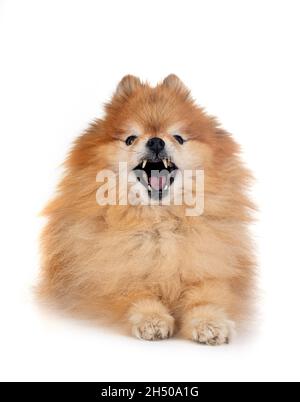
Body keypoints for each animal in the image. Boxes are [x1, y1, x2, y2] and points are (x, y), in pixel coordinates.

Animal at [38, 75, 255, 346]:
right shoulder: (110, 276)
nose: (155, 140)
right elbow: (135, 295)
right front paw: (151, 320)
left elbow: (208, 297)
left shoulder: (211, 270)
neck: (158, 222)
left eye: (178, 137)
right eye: (130, 138)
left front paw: (210, 323)